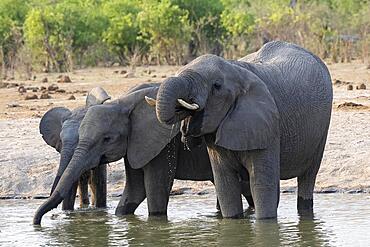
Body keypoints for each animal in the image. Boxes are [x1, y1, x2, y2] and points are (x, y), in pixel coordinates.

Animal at [33, 84, 253, 225]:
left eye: (107, 139)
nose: (38, 222)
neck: (123, 102)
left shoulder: (163, 143)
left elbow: (155, 190)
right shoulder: (136, 143)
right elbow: (134, 190)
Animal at [152, 41, 332, 220]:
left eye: (216, 86)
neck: (236, 70)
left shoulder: (267, 126)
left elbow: (261, 185)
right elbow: (225, 186)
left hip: (322, 130)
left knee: (308, 176)